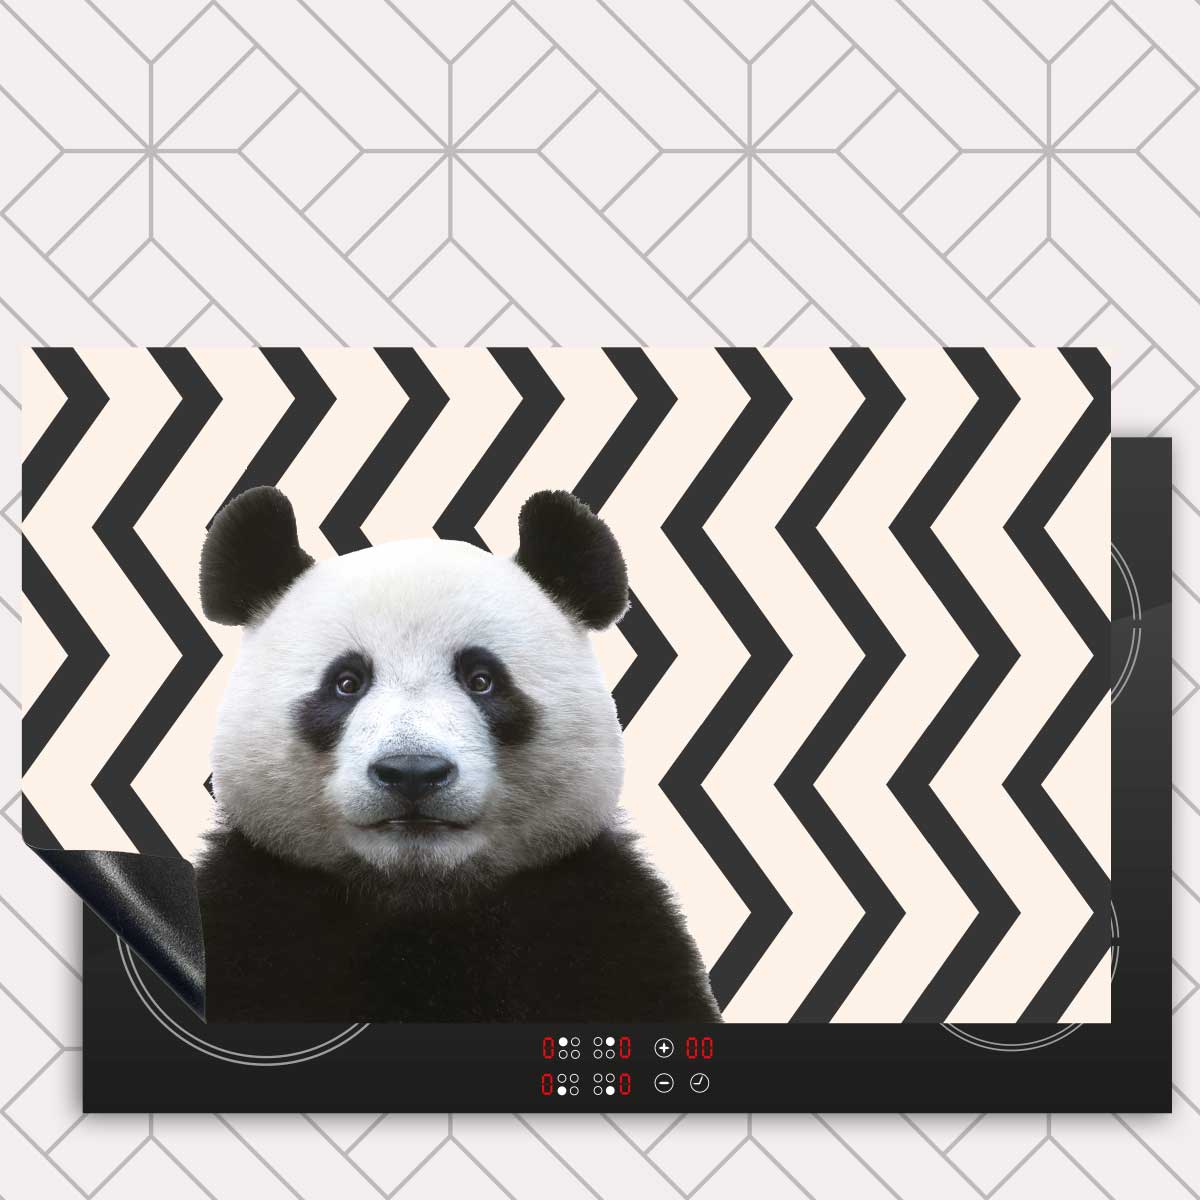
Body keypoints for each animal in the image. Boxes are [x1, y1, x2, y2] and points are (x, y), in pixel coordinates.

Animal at [194, 485, 721, 1024]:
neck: (421, 899)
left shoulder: (604, 922)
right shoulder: (251, 916)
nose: (412, 772)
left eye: (482, 680)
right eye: (346, 683)